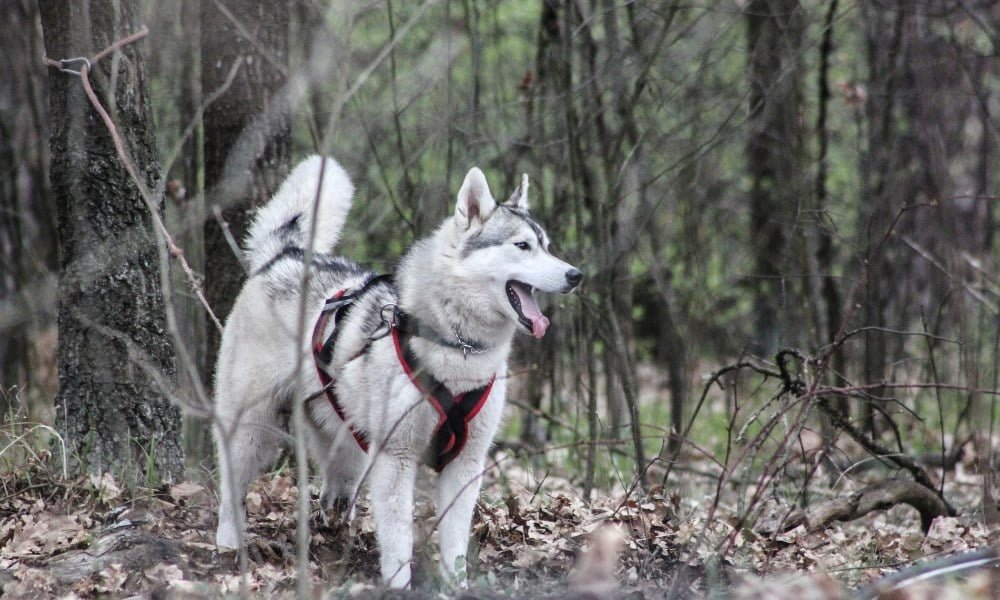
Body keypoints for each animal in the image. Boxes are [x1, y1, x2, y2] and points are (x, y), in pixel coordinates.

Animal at [215, 155, 584, 584]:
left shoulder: (466, 464)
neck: (458, 348)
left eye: (547, 247)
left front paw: (456, 585)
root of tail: (285, 254)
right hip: (252, 429)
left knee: (336, 485)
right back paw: (229, 543)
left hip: (346, 438)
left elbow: (455, 544)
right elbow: (399, 540)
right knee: (231, 489)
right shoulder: (397, 457)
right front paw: (398, 584)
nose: (576, 275)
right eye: (522, 246)